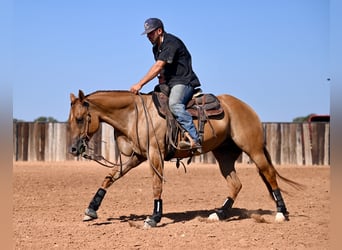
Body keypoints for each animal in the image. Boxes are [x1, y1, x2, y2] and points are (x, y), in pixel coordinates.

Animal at [68, 89, 300, 228]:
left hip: (254, 149)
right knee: (236, 184)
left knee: (269, 174)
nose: (73, 148)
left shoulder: (155, 154)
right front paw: (91, 210)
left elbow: (156, 184)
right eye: (70, 120)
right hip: (224, 155)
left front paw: (154, 217)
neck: (136, 114)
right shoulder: (135, 157)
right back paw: (219, 213)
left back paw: (281, 213)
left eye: (80, 119)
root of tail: (246, 107)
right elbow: (110, 176)